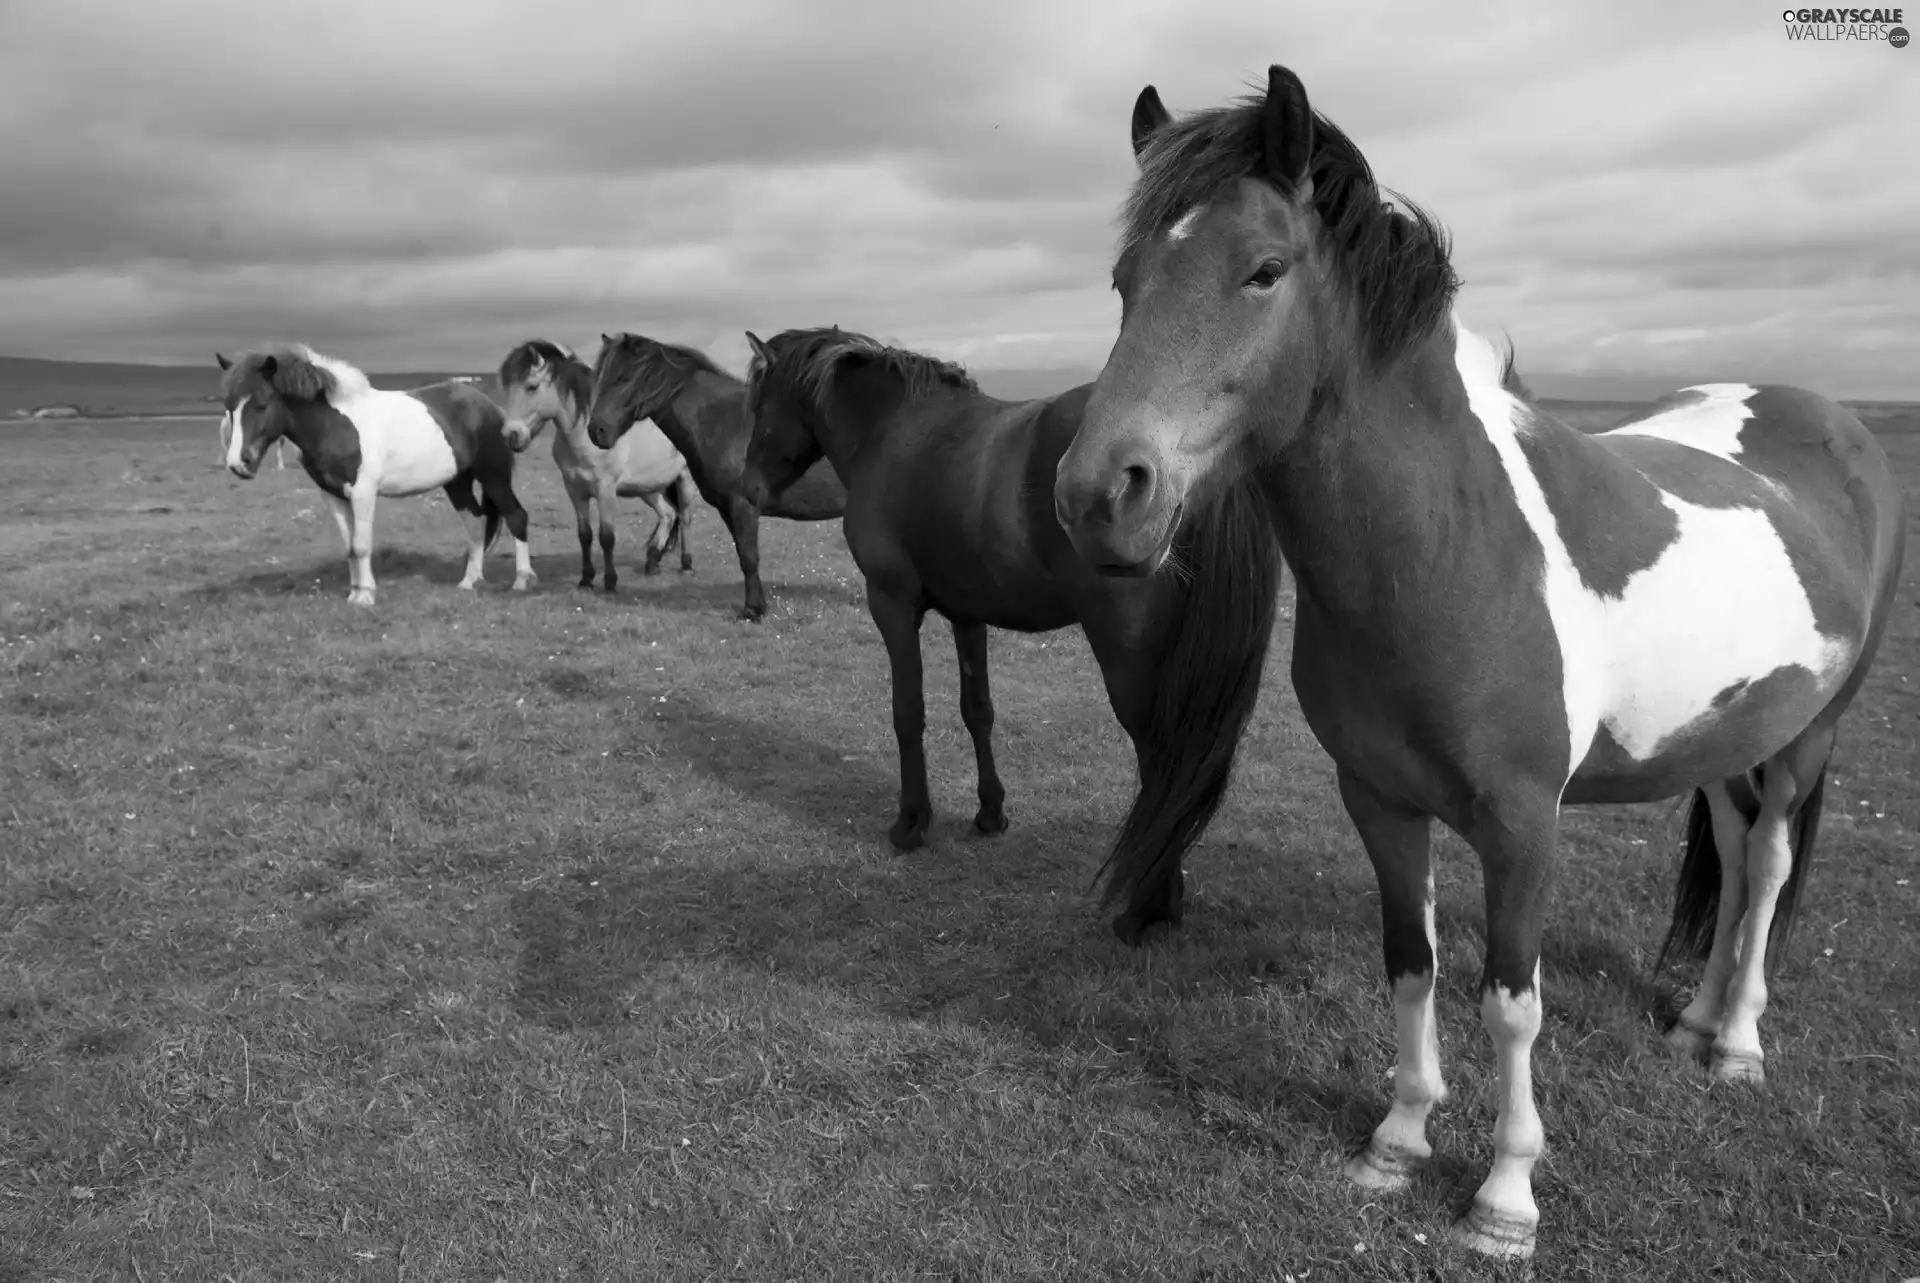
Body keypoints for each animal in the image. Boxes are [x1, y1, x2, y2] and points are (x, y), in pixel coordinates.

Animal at [220, 339, 537, 603]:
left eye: (261, 404)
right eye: (229, 406)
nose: (238, 464)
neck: (334, 425)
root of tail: (488, 406)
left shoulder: (362, 493)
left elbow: (361, 545)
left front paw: (365, 596)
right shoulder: (332, 496)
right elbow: (349, 547)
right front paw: (354, 593)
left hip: (494, 475)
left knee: (516, 516)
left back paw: (521, 581)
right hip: (457, 481)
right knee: (476, 522)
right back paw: (469, 581)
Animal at [579, 334, 844, 618]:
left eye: (624, 378)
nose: (596, 431)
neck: (721, 423)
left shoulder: (743, 506)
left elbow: (749, 558)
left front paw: (753, 611)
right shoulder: (727, 509)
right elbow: (743, 555)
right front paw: (756, 605)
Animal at [737, 320, 1290, 941]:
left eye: (759, 403)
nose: (748, 485)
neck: (893, 432)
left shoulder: (891, 604)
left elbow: (908, 713)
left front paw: (911, 822)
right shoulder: (967, 614)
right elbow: (977, 710)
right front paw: (990, 812)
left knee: (1162, 759)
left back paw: (1148, 907)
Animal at [1059, 65, 1912, 1259]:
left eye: (1263, 270)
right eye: (1125, 281)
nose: (1101, 495)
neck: (1447, 548)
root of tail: (1832, 420)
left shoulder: (1521, 824)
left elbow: (1512, 1002)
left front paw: (1505, 1196)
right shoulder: (1378, 800)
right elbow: (1410, 964)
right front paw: (1397, 1139)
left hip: (1808, 738)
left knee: (1777, 864)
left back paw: (1738, 1042)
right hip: (1721, 738)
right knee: (1742, 859)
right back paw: (1693, 1022)